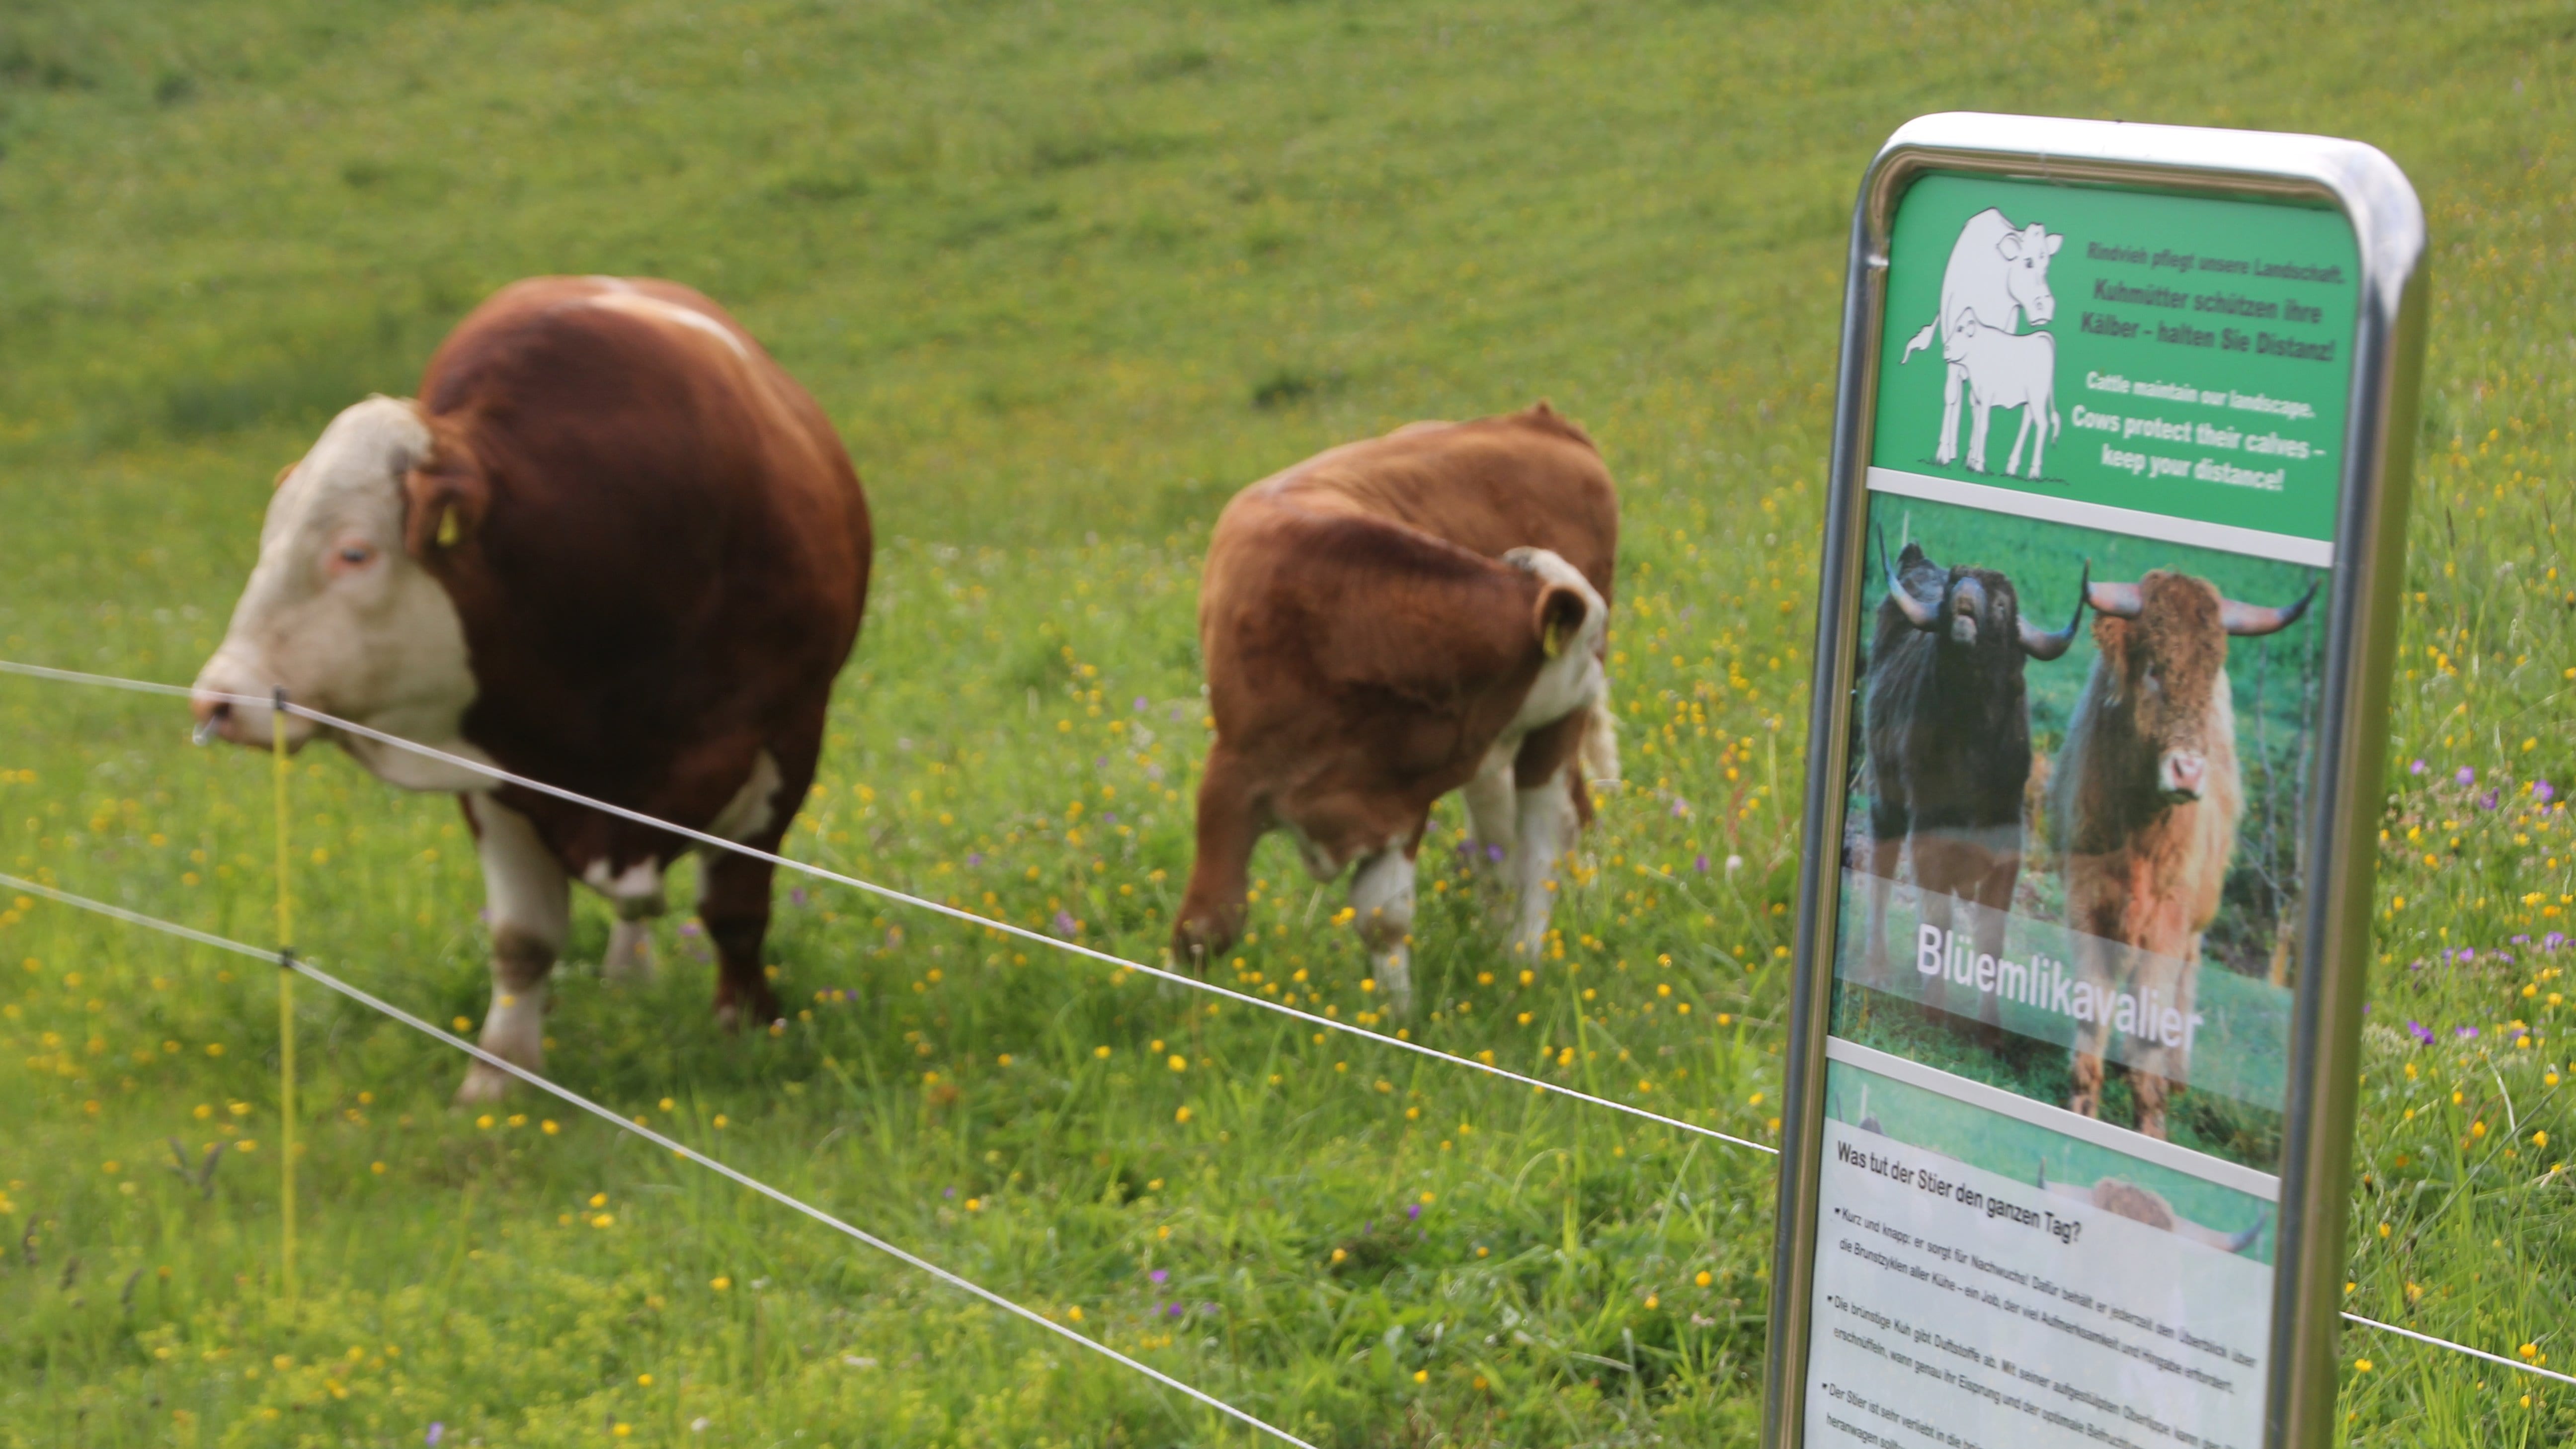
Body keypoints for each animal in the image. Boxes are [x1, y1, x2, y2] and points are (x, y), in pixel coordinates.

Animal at [193, 279, 876, 1093]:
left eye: (354, 552)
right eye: (268, 543)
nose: (217, 698)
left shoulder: (787, 735)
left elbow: (736, 912)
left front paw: (746, 1028)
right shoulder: (497, 768)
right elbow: (522, 939)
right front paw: (498, 1076)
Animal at [1180, 402, 1617, 1016]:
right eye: (1590, 638)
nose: (1603, 673)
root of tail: (1535, 418)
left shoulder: (1401, 796)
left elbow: (1384, 915)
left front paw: (1398, 1019)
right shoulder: (1231, 781)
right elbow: (1206, 924)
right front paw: (1175, 1013)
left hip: (1546, 741)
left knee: (1545, 846)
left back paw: (1524, 966)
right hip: (1509, 747)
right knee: (1509, 847)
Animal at [2050, 570, 2318, 1134]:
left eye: (2209, 675)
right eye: (2154, 667)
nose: (2189, 772)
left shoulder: (2170, 920)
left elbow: (2154, 1019)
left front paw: (2152, 1120)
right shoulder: (2085, 902)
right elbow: (2092, 1008)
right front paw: (2081, 1103)